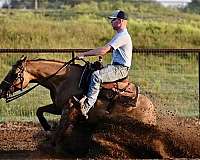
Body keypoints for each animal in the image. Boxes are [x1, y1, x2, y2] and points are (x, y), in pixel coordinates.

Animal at [0, 55, 156, 132]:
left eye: (14, 74)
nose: (1, 89)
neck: (63, 79)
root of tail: (152, 109)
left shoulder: (65, 107)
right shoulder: (57, 106)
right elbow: (39, 110)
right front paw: (47, 127)